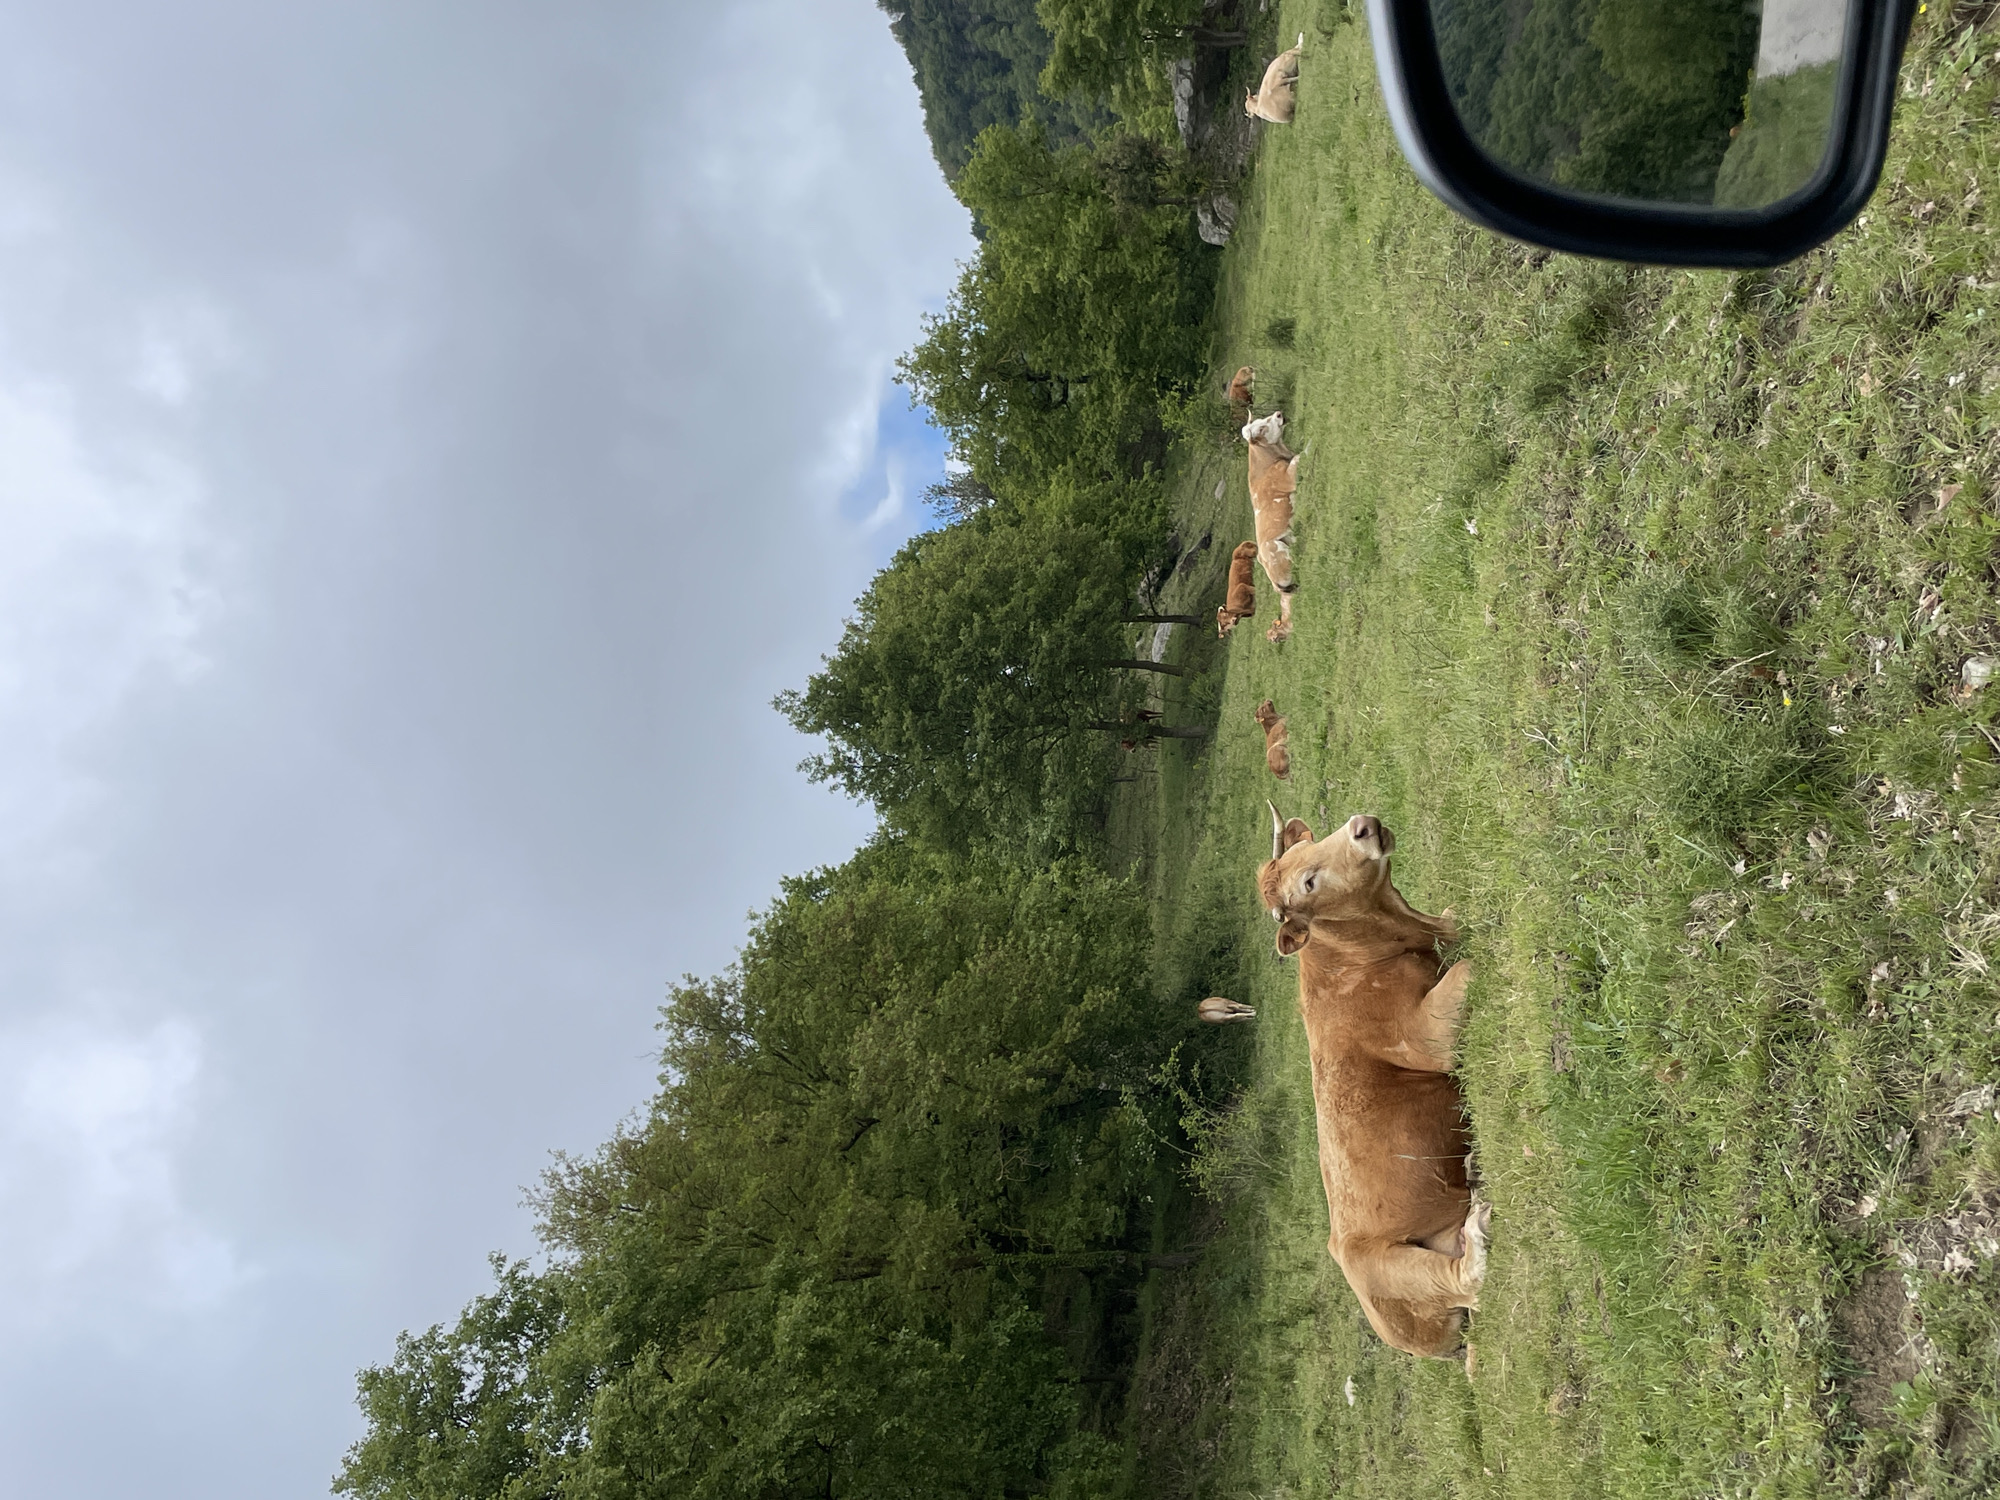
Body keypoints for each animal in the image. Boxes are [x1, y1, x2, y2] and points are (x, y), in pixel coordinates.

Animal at [1258, 803, 1487, 1358]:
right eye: (1309, 881)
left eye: (1313, 846)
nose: (1362, 826)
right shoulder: (1427, 1037)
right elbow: (1470, 963)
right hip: (1392, 1265)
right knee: (1467, 1278)